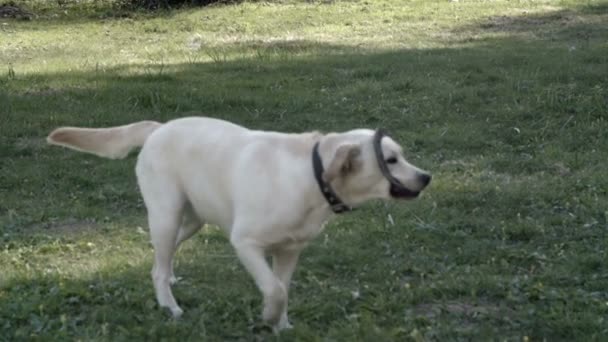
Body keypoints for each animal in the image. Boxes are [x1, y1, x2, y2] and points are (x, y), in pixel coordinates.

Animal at [47, 117, 430, 332]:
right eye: (391, 160)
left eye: (401, 155)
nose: (426, 177)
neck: (310, 176)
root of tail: (159, 128)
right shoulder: (245, 243)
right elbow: (274, 289)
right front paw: (269, 316)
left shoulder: (290, 250)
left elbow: (283, 287)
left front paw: (282, 325)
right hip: (167, 214)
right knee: (158, 264)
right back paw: (169, 305)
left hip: (191, 220)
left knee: (162, 256)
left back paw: (170, 278)